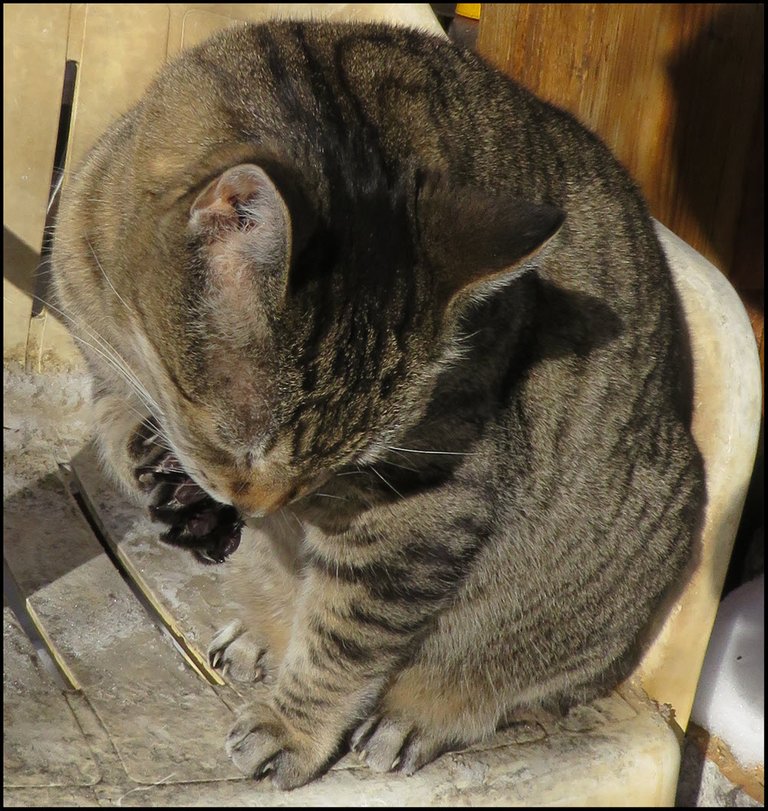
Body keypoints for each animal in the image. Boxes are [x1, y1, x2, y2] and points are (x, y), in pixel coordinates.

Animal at [51, 20, 704, 792]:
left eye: (345, 462)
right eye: (241, 443)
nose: (265, 504)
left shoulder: (424, 501)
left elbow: (346, 639)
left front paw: (293, 729)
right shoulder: (103, 368)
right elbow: (120, 425)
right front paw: (170, 482)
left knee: (521, 678)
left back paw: (416, 710)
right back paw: (262, 629)